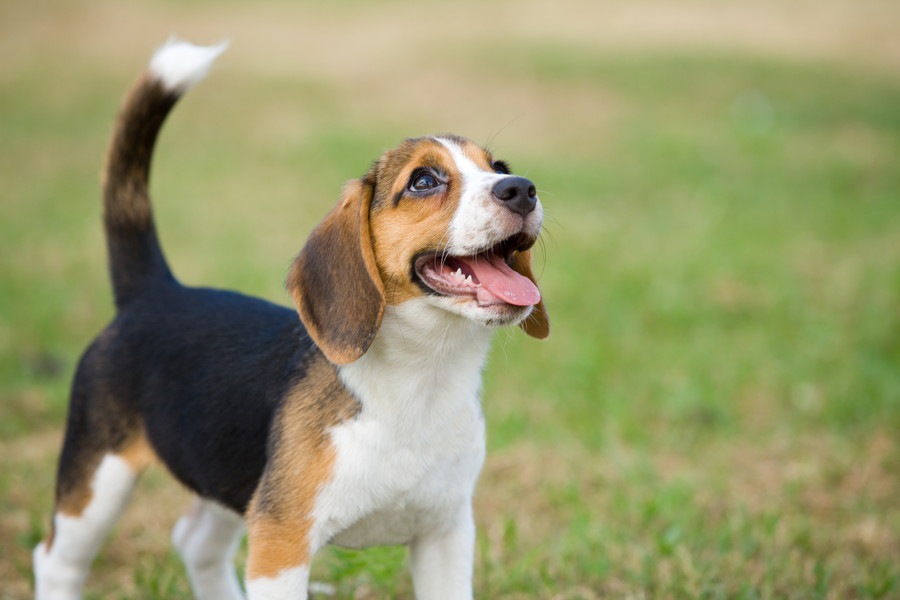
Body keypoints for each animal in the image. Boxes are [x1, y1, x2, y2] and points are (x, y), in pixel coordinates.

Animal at [31, 39, 548, 596]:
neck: (423, 377)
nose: (521, 188)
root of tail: (153, 291)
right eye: (424, 181)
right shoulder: (280, 546)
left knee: (195, 544)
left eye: (499, 165)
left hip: (228, 474)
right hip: (97, 483)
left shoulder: (446, 533)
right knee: (56, 561)